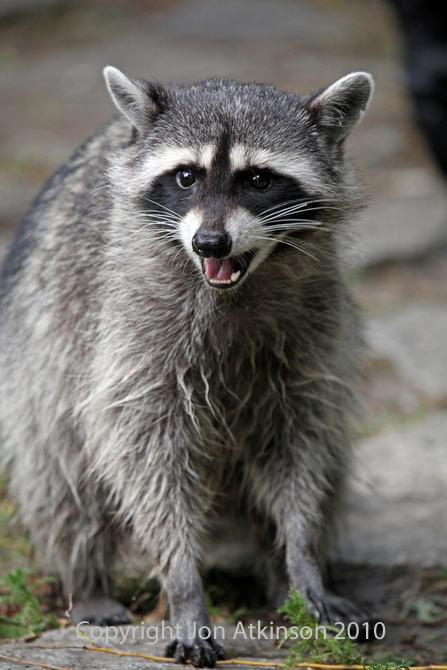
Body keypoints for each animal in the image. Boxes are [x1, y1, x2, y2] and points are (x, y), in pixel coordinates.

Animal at [0, 67, 373, 666]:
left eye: (259, 180)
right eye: (185, 177)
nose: (210, 242)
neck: (233, 286)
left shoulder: (311, 341)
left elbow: (300, 450)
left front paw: (300, 553)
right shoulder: (132, 337)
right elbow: (146, 461)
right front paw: (184, 584)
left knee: (331, 467)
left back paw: (281, 576)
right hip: (43, 361)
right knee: (62, 479)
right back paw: (87, 580)